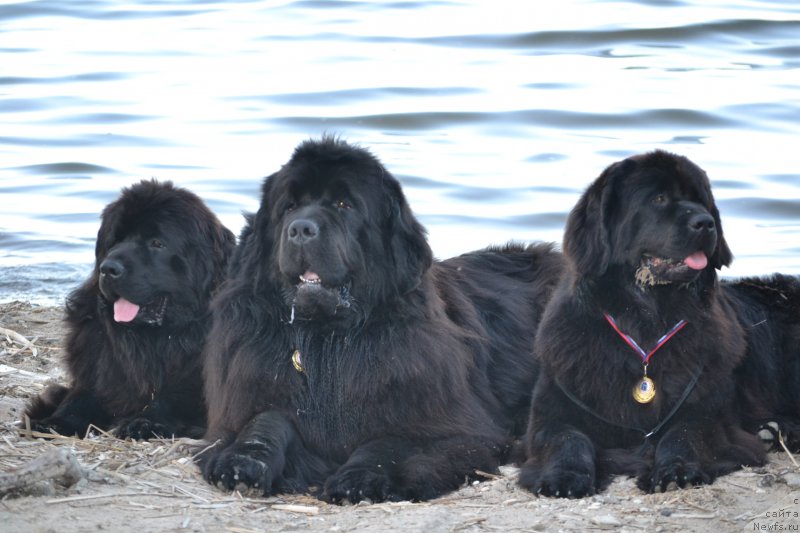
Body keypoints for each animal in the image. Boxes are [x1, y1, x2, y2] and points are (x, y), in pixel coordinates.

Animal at [24, 181, 234, 438]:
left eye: (157, 243)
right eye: (114, 241)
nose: (108, 268)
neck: (151, 341)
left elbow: (173, 399)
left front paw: (146, 422)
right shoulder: (97, 371)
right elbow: (80, 398)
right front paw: (55, 421)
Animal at [199, 138, 564, 502]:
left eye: (344, 204)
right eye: (288, 207)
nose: (300, 229)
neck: (327, 340)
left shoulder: (445, 424)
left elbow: (388, 441)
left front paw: (359, 478)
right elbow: (267, 420)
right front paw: (243, 462)